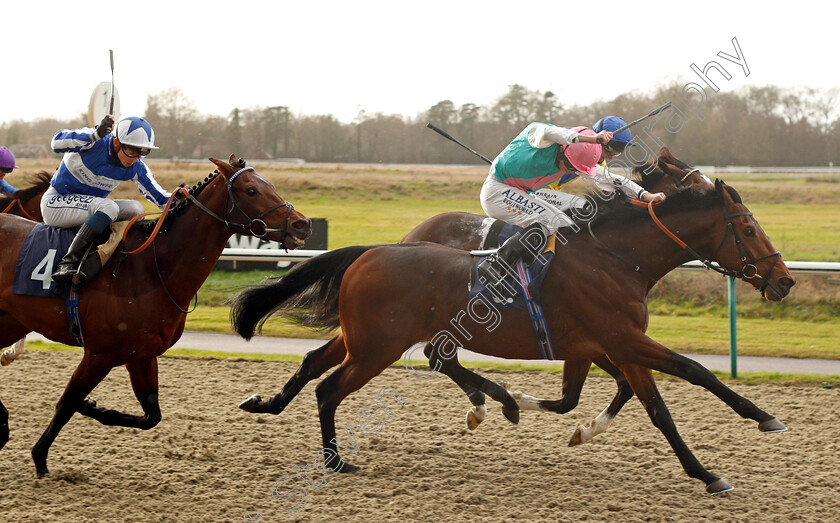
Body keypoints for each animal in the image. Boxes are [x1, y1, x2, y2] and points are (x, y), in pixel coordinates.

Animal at [0, 156, 308, 478]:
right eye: (250, 190)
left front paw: (93, 407)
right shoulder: (100, 353)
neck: (150, 268)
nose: (303, 223)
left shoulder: (141, 355)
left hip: (10, 321)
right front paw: (40, 457)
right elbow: (66, 404)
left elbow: (151, 416)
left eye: (269, 184)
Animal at [235, 180, 796, 496]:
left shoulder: (604, 345)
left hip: (365, 338)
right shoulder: (623, 339)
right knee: (331, 387)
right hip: (377, 347)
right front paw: (727, 453)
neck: (616, 258)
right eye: (748, 230)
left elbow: (601, 398)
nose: (785, 280)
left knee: (320, 363)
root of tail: (372, 251)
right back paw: (336, 460)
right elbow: (685, 381)